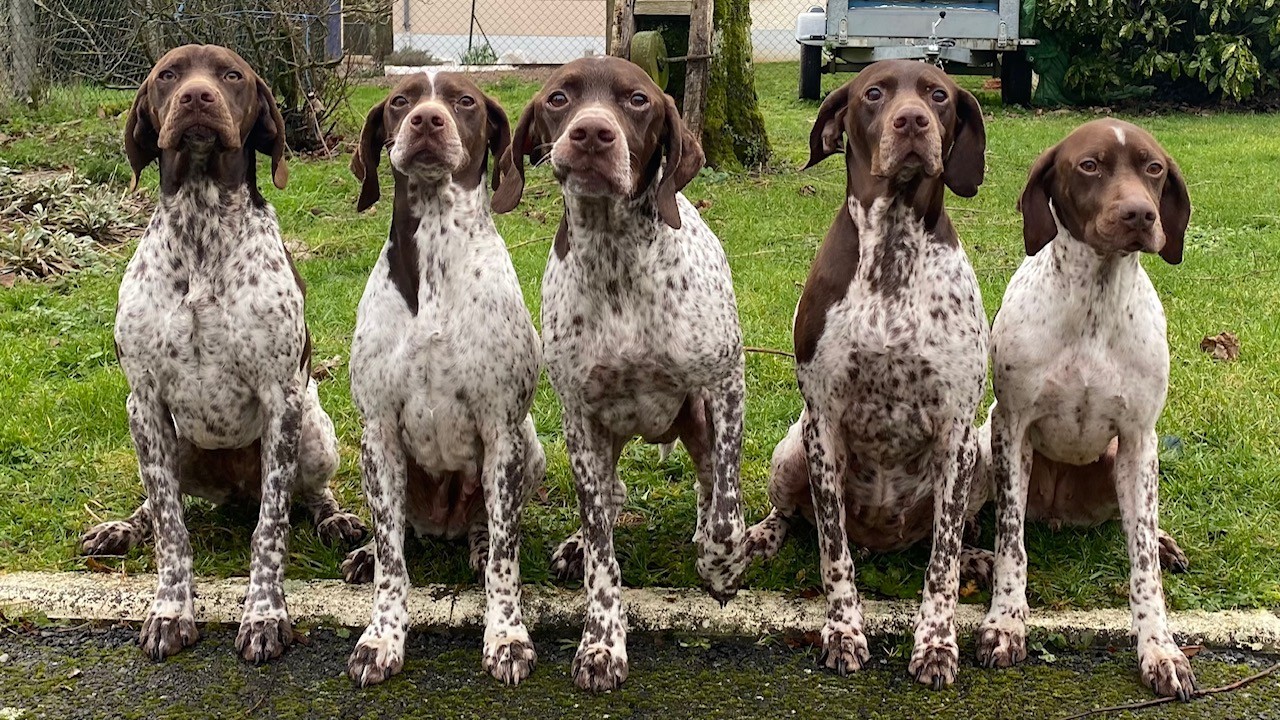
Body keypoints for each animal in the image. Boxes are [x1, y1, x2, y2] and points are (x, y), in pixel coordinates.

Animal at [81, 43, 366, 661]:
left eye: (231, 75)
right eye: (168, 76)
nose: (196, 97)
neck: (202, 223)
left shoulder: (282, 399)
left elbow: (272, 527)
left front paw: (264, 615)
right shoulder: (143, 401)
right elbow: (171, 528)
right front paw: (170, 610)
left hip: (314, 429)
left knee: (312, 494)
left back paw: (336, 521)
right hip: (164, 442)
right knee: (158, 503)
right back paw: (121, 528)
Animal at [340, 73, 545, 681]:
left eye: (464, 101)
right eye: (400, 101)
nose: (427, 120)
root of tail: (443, 526)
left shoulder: (502, 431)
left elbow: (505, 558)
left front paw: (507, 636)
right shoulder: (379, 431)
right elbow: (392, 563)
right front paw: (381, 637)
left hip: (530, 445)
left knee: (490, 529)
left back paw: (474, 542)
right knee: (396, 532)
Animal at [747, 58, 993, 686]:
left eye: (939, 95)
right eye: (874, 93)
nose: (913, 122)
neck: (893, 252)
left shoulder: (957, 433)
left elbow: (941, 563)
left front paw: (936, 644)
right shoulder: (823, 428)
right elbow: (833, 551)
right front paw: (843, 631)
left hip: (979, 458)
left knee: (947, 539)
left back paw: (978, 556)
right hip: (792, 448)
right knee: (794, 517)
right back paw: (760, 536)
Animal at [977, 120, 1198, 696]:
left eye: (1153, 168)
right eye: (1090, 166)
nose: (1140, 215)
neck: (1095, 302)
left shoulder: (1140, 440)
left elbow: (1143, 566)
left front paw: (1160, 649)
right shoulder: (1012, 428)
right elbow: (1011, 544)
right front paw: (1005, 624)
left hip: (1127, 463)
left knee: (1141, 528)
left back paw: (1164, 541)